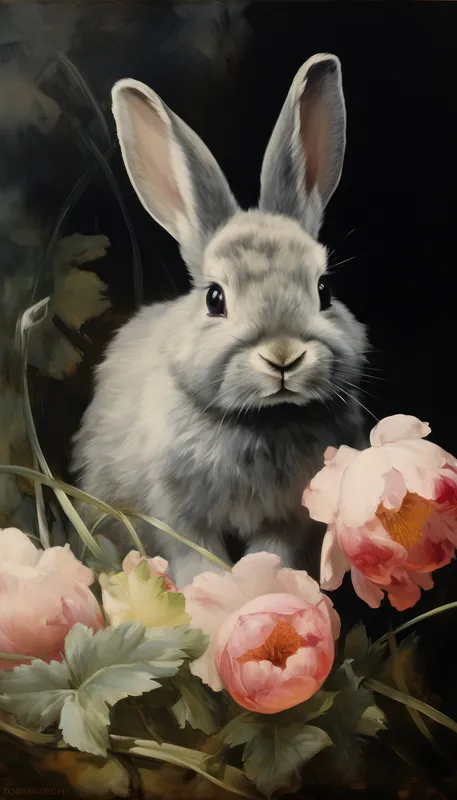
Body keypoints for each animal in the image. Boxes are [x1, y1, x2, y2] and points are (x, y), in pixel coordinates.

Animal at [72, 53, 368, 589]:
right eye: (215, 299)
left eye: (323, 290)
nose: (283, 356)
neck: (263, 421)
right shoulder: (177, 515)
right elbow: (196, 559)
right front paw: (212, 595)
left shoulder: (288, 517)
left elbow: (272, 554)